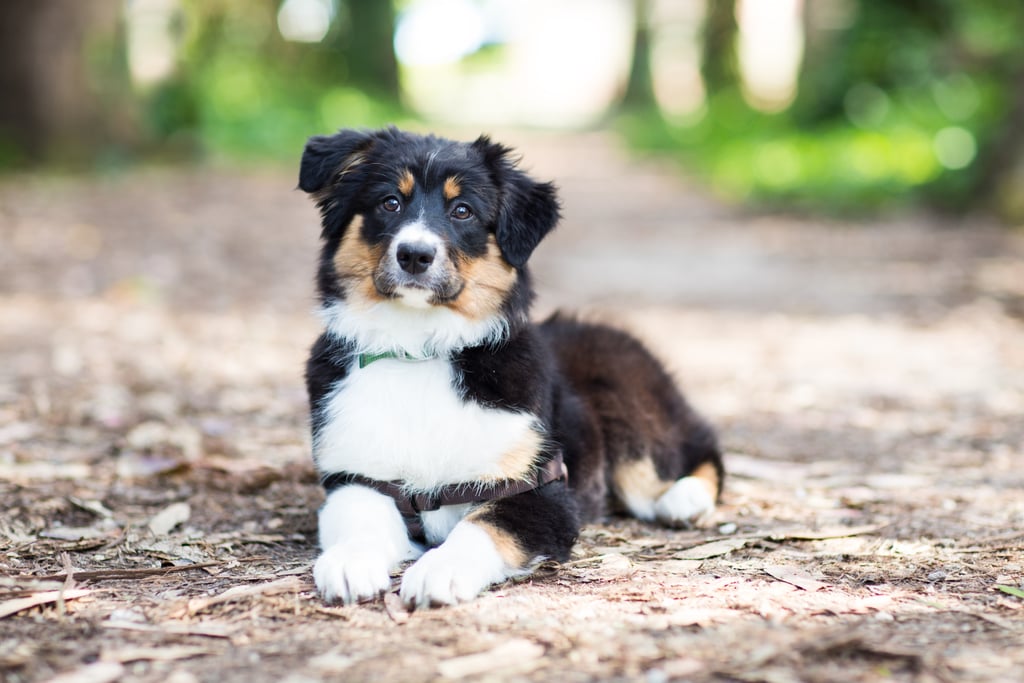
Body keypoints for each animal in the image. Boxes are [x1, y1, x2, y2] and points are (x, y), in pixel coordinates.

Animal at [299, 127, 724, 610]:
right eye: (390, 202)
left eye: (462, 210)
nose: (414, 255)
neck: (420, 349)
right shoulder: (357, 479)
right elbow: (360, 520)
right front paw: (349, 563)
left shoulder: (535, 488)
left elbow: (482, 526)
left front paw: (441, 571)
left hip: (629, 410)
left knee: (695, 447)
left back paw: (684, 497)